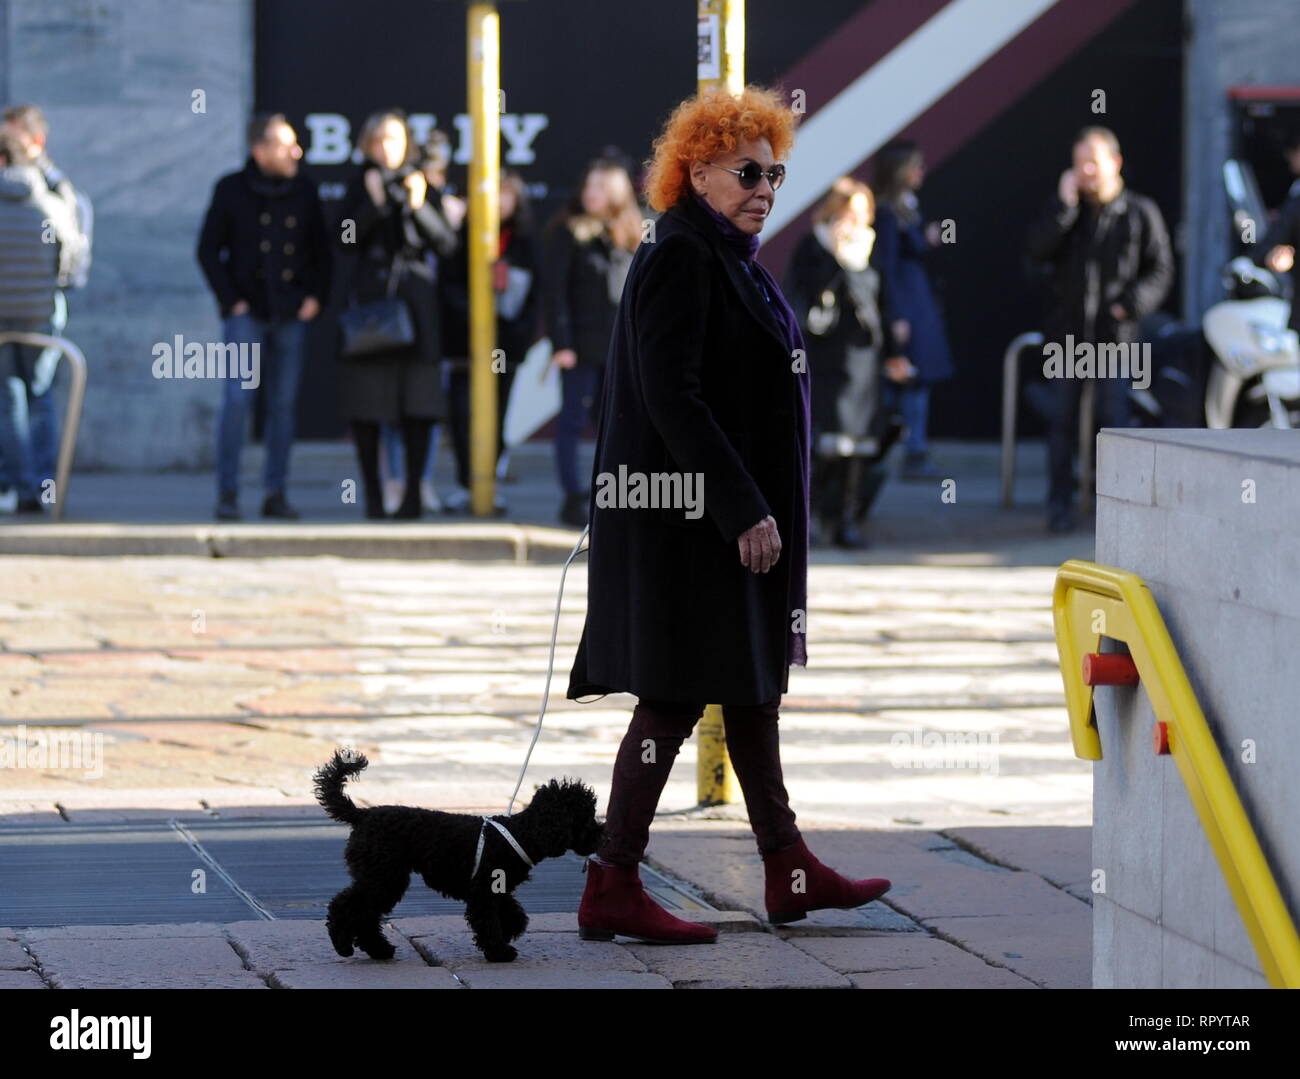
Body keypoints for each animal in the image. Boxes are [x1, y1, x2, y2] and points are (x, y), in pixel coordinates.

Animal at [314, 754, 603, 961]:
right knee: (346, 905)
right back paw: (343, 945)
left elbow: (515, 914)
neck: (521, 834)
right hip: (384, 877)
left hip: (382, 878)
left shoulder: (498, 889)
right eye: (586, 817)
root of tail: (361, 815)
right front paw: (499, 952)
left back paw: (379, 950)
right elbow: (487, 922)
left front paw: (509, 931)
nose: (603, 834)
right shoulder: (484, 893)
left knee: (365, 914)